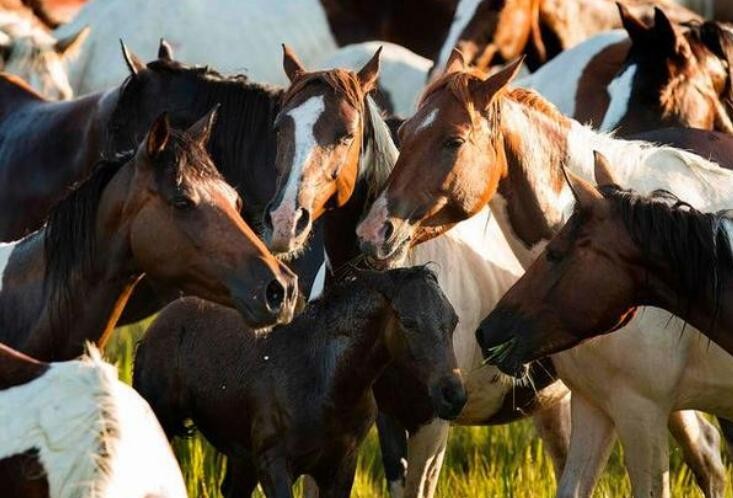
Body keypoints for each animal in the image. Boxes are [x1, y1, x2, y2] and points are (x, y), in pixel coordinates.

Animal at [135, 266, 466, 498]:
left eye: (454, 321)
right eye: (408, 322)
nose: (453, 395)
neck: (327, 381)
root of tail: (158, 323)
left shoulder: (340, 467)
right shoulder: (274, 466)